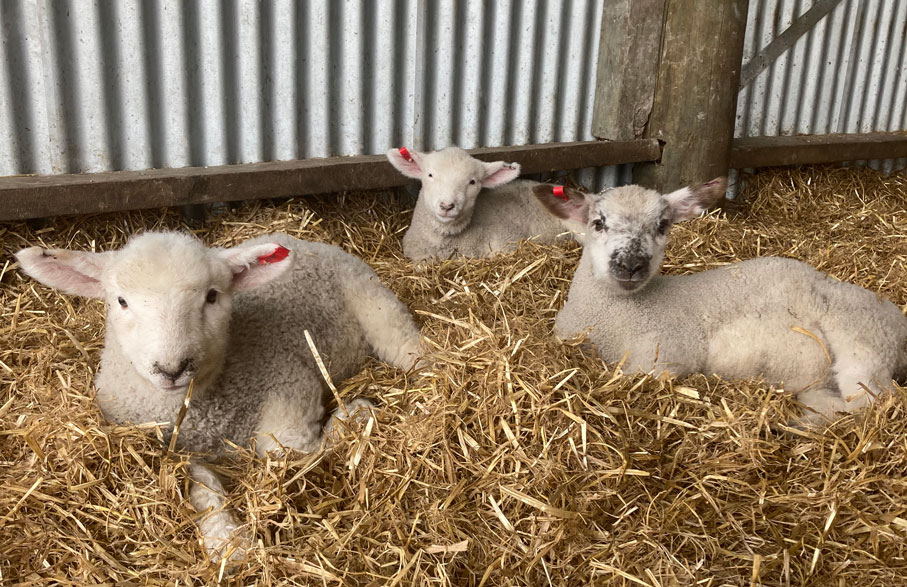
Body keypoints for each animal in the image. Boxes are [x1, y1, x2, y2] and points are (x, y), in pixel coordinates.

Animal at [15, 231, 423, 562]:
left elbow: (288, 451)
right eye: (121, 301)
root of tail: (308, 241)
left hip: (378, 307)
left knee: (413, 349)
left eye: (212, 297)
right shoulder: (171, 450)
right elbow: (202, 484)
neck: (204, 409)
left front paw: (355, 414)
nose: (172, 368)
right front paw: (228, 542)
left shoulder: (292, 384)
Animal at [532, 179, 907, 425]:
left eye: (663, 225)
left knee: (874, 401)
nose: (630, 265)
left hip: (864, 342)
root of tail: (899, 323)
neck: (615, 317)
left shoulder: (666, 354)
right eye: (598, 223)